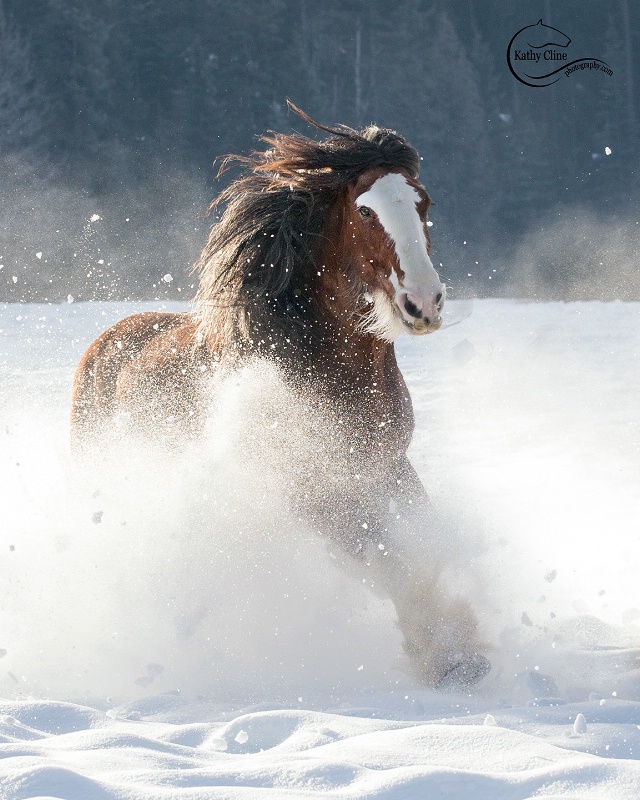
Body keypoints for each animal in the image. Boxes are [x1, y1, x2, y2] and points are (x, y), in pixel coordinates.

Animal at [70, 104, 490, 692]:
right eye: (364, 210)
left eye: (423, 202)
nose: (423, 303)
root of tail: (104, 341)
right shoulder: (308, 493)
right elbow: (385, 560)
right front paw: (444, 656)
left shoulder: (386, 467)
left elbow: (420, 541)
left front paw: (463, 649)